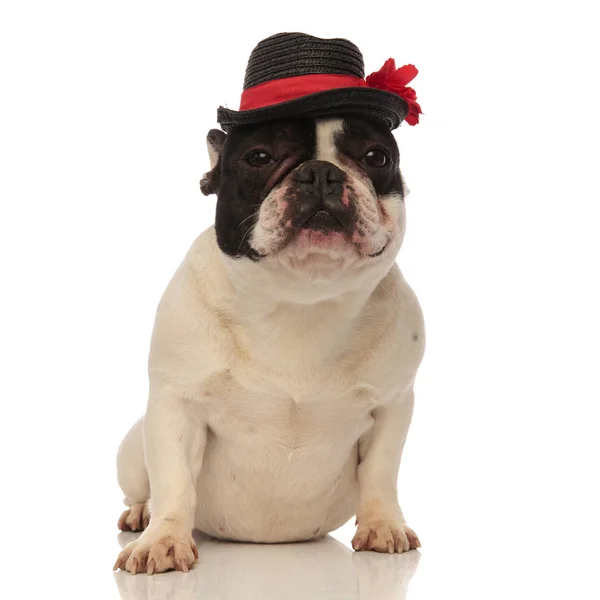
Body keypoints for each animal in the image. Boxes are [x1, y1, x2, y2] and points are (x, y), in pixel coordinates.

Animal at [115, 116, 424, 572]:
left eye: (377, 156)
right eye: (258, 156)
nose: (321, 172)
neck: (300, 301)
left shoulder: (392, 404)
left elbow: (380, 471)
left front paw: (382, 525)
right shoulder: (177, 405)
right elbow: (173, 478)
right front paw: (163, 540)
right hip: (132, 453)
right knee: (141, 486)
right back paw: (141, 514)